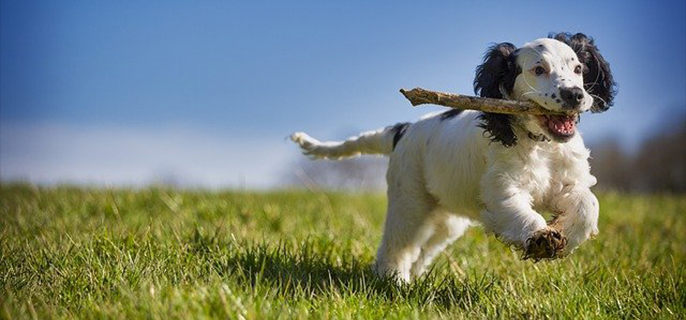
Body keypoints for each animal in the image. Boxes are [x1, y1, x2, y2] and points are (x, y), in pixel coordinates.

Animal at [290, 33, 620, 282]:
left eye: (578, 69)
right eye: (538, 70)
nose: (575, 95)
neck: (540, 144)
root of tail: (403, 129)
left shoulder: (569, 181)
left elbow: (588, 204)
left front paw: (566, 235)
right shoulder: (501, 190)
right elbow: (519, 212)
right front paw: (540, 238)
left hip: (446, 220)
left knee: (423, 250)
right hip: (409, 202)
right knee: (397, 246)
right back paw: (393, 280)